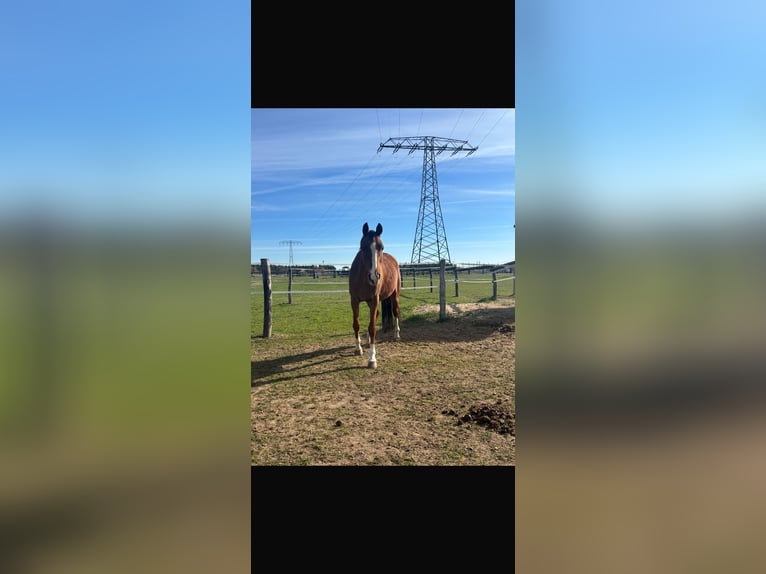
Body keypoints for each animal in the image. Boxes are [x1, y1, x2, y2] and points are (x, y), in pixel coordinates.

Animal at [348, 222, 401, 368]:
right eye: (363, 247)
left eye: (381, 247)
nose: (374, 277)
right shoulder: (354, 300)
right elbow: (356, 324)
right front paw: (358, 348)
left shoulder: (374, 300)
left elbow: (372, 327)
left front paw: (372, 359)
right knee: (376, 315)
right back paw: (367, 341)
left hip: (394, 295)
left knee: (395, 312)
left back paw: (396, 334)